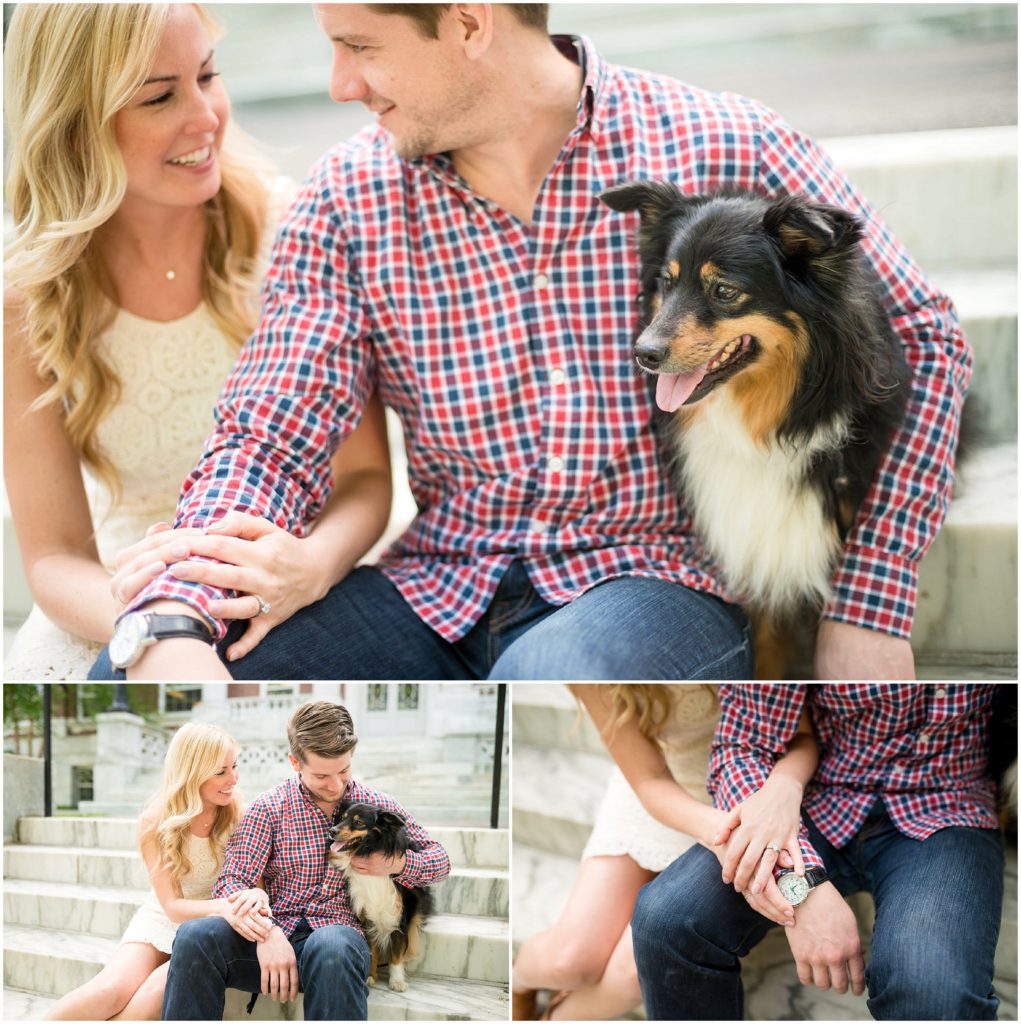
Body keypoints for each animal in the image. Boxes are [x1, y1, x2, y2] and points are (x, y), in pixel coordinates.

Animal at [327, 798, 432, 991]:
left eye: (359, 822)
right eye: (342, 818)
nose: (332, 831)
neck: (369, 850)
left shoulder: (399, 915)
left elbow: (396, 952)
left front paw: (397, 980)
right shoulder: (366, 914)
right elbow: (371, 948)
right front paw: (370, 976)